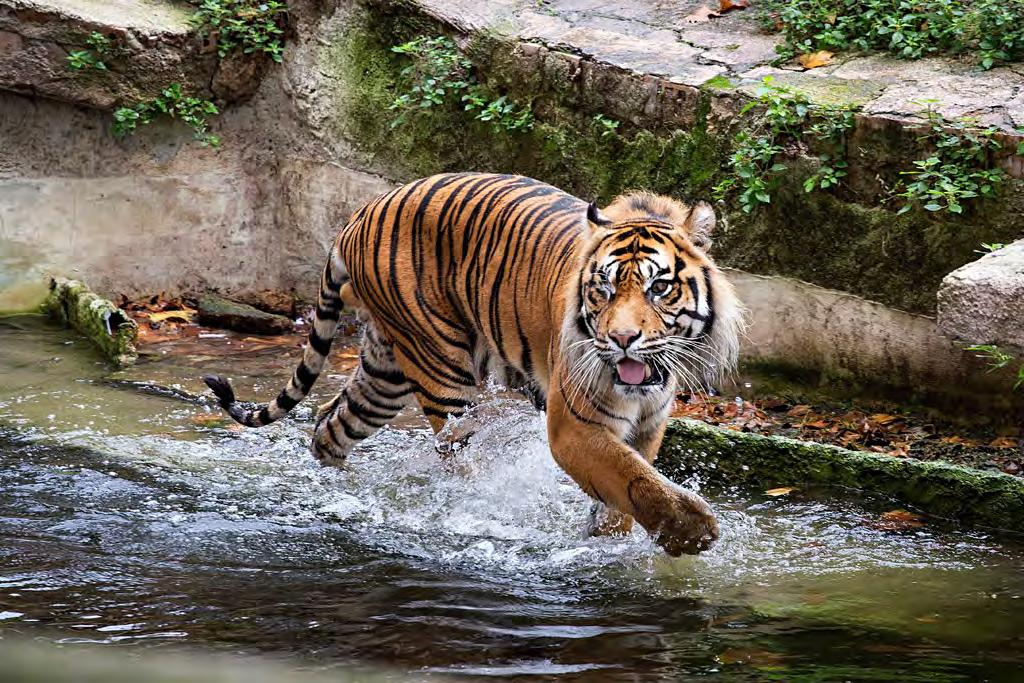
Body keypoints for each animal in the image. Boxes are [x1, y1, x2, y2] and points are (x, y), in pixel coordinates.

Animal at [201, 172, 745, 557]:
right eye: (603, 289)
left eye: (659, 287)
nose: (622, 339)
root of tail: (357, 216)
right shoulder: (573, 426)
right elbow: (632, 478)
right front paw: (691, 531)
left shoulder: (648, 423)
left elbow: (628, 489)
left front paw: (608, 540)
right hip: (441, 369)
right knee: (459, 459)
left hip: (385, 374)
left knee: (328, 423)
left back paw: (341, 492)